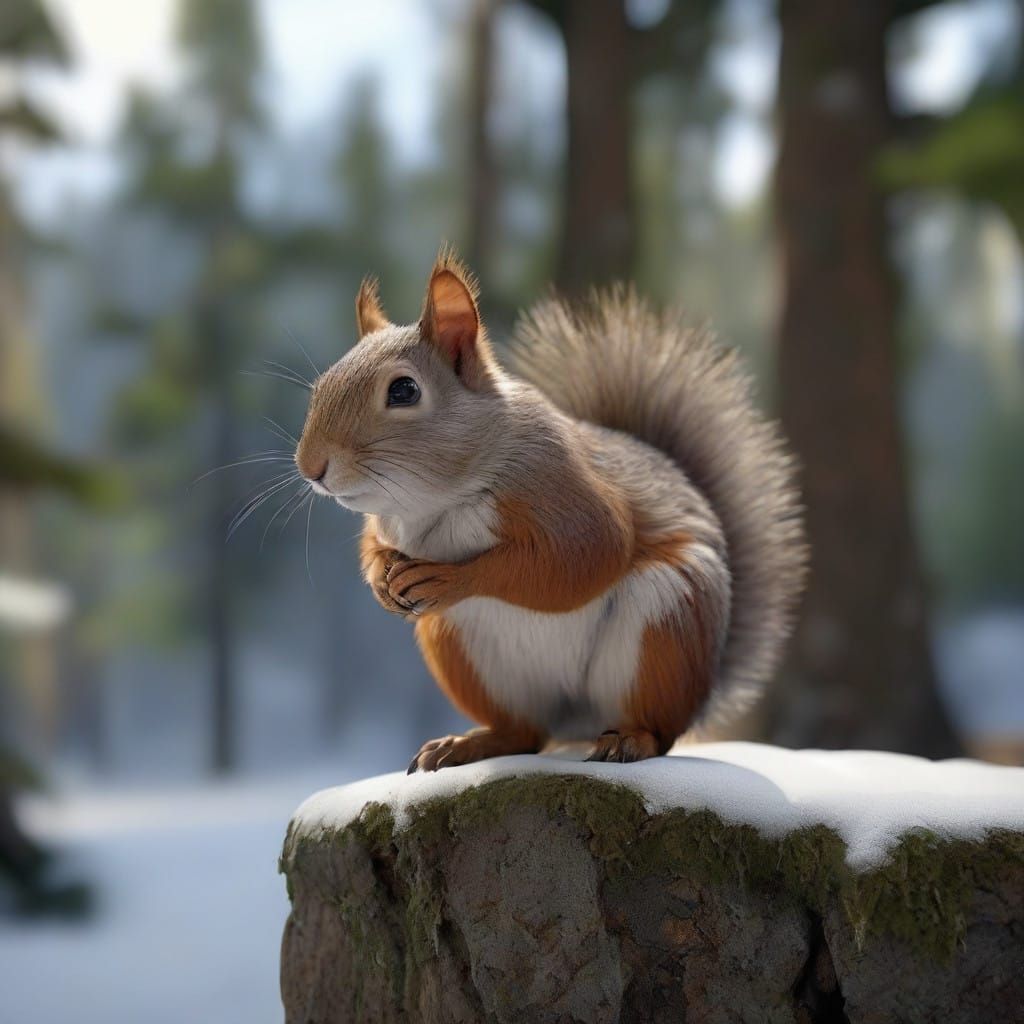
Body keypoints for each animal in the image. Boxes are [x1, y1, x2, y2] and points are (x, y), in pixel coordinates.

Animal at [295, 248, 806, 772]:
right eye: (319, 388)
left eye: (403, 391)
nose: (310, 466)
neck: (439, 499)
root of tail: (577, 722)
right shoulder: (386, 524)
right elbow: (373, 546)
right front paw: (380, 577)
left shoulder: (563, 490)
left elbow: (587, 556)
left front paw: (451, 578)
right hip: (457, 646)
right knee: (525, 733)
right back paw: (469, 744)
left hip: (670, 620)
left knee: (660, 729)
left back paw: (632, 739)